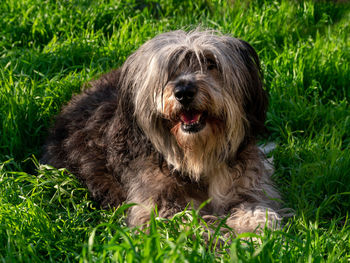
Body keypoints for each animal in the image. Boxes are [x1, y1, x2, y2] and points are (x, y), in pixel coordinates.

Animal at [41, 29, 282, 234]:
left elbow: (257, 212)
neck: (196, 160)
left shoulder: (246, 186)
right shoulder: (154, 204)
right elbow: (186, 224)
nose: (184, 92)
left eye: (210, 62)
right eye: (169, 70)